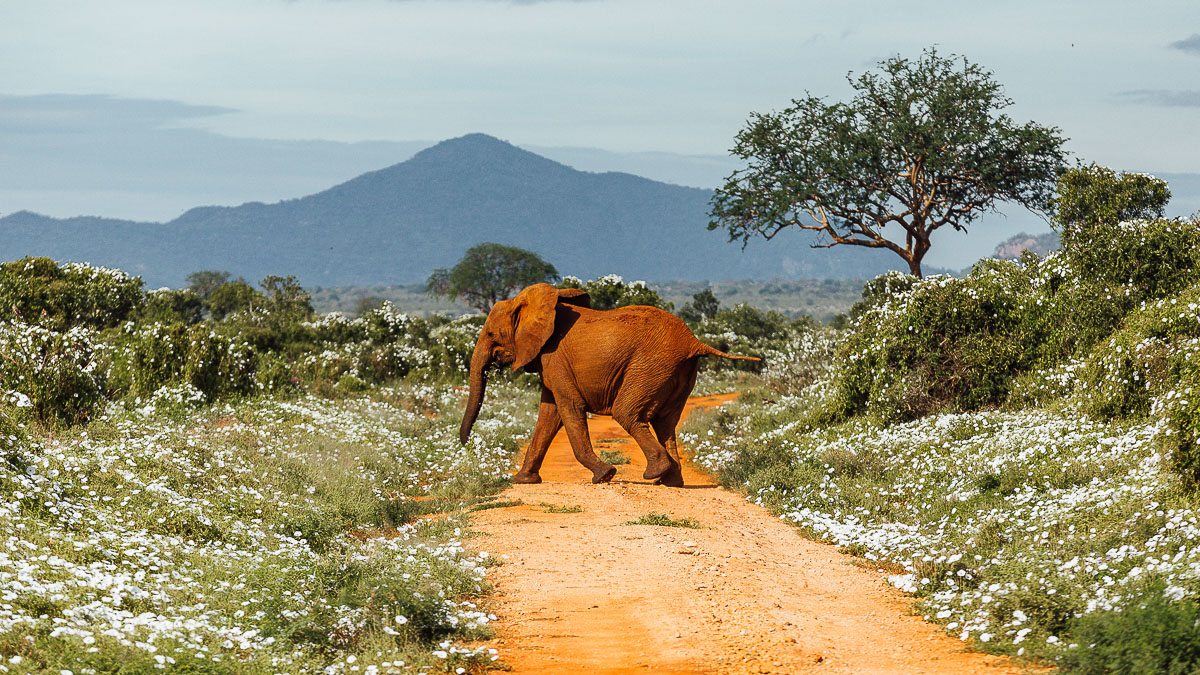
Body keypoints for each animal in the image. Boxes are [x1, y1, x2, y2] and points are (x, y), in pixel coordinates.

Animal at [458, 282, 758, 482]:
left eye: (491, 334)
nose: (466, 444)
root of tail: (693, 341)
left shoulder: (554, 358)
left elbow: (569, 409)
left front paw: (604, 475)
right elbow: (549, 413)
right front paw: (524, 481)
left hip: (650, 367)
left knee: (627, 413)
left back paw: (654, 473)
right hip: (678, 372)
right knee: (665, 422)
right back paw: (672, 481)